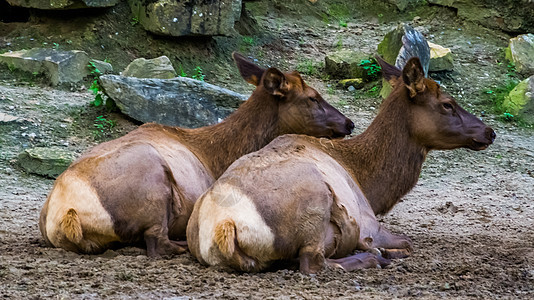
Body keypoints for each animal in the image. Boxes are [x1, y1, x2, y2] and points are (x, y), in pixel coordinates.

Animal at [38, 52, 356, 256]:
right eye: (313, 97)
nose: (349, 123)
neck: (216, 155)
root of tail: (68, 213)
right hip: (152, 181)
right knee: (157, 242)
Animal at [187, 56, 498, 274]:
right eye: (447, 103)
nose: (489, 132)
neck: (365, 179)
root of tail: (224, 225)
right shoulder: (370, 222)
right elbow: (408, 241)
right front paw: (385, 252)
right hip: (314, 203)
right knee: (313, 263)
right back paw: (373, 257)